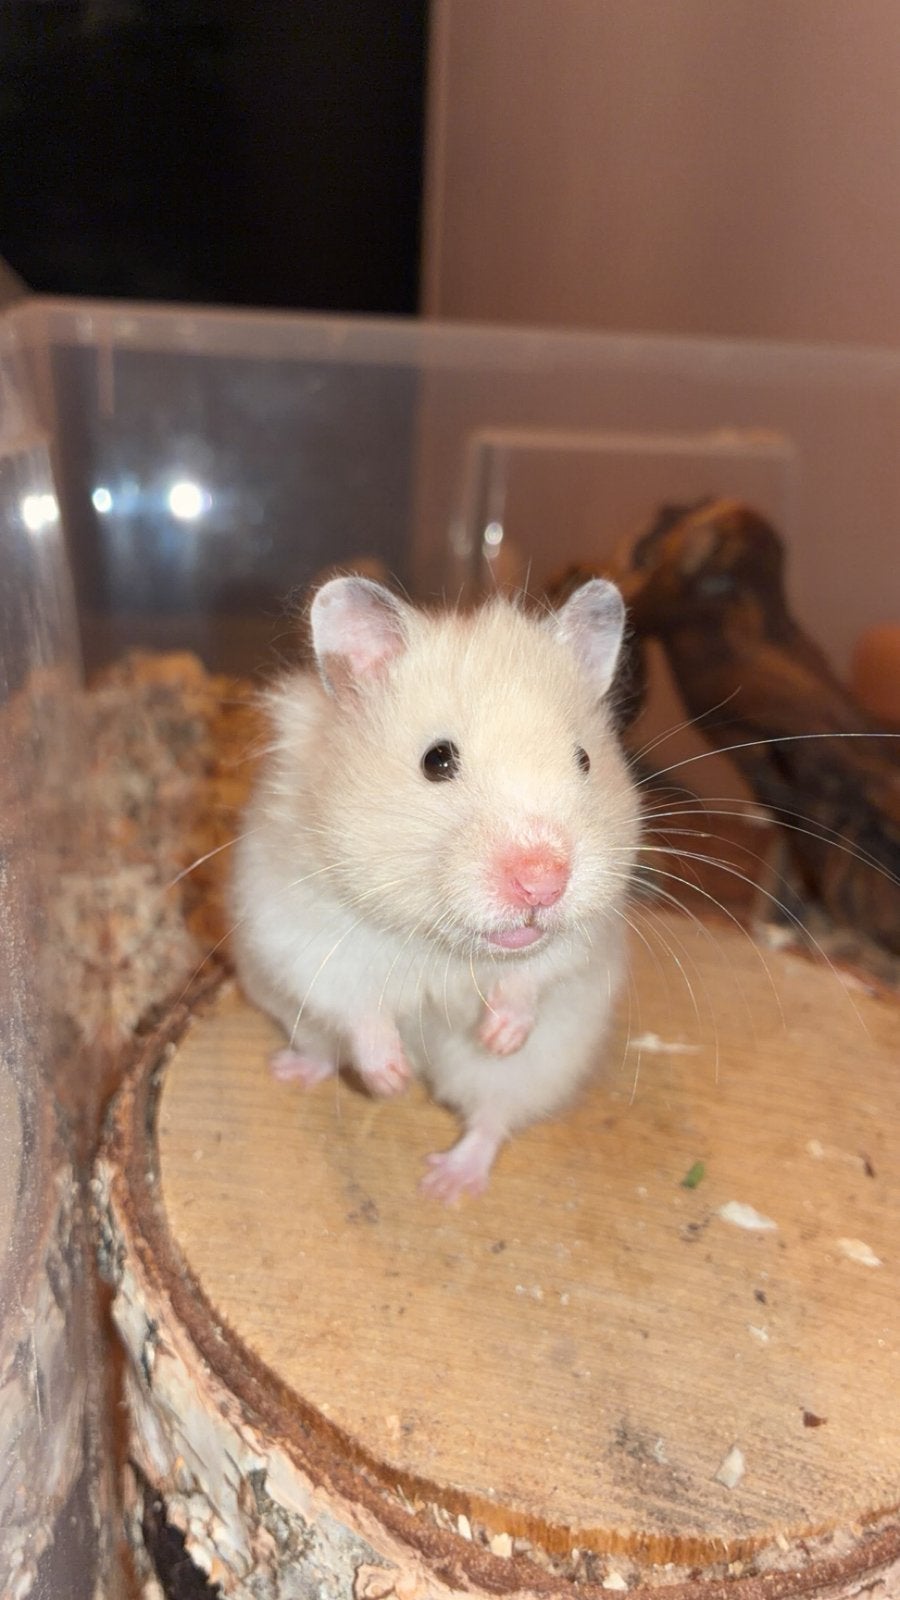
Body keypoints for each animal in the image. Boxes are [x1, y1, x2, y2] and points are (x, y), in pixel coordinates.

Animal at [231, 576, 640, 1202]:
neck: (438, 945)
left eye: (584, 760)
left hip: (535, 1068)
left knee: (492, 1117)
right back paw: (293, 1071)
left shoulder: (585, 936)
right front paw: (390, 1081)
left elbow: (536, 972)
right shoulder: (304, 930)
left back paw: (446, 1185)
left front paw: (500, 1034)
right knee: (325, 1048)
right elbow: (357, 1006)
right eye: (436, 760)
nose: (542, 882)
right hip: (289, 1011)